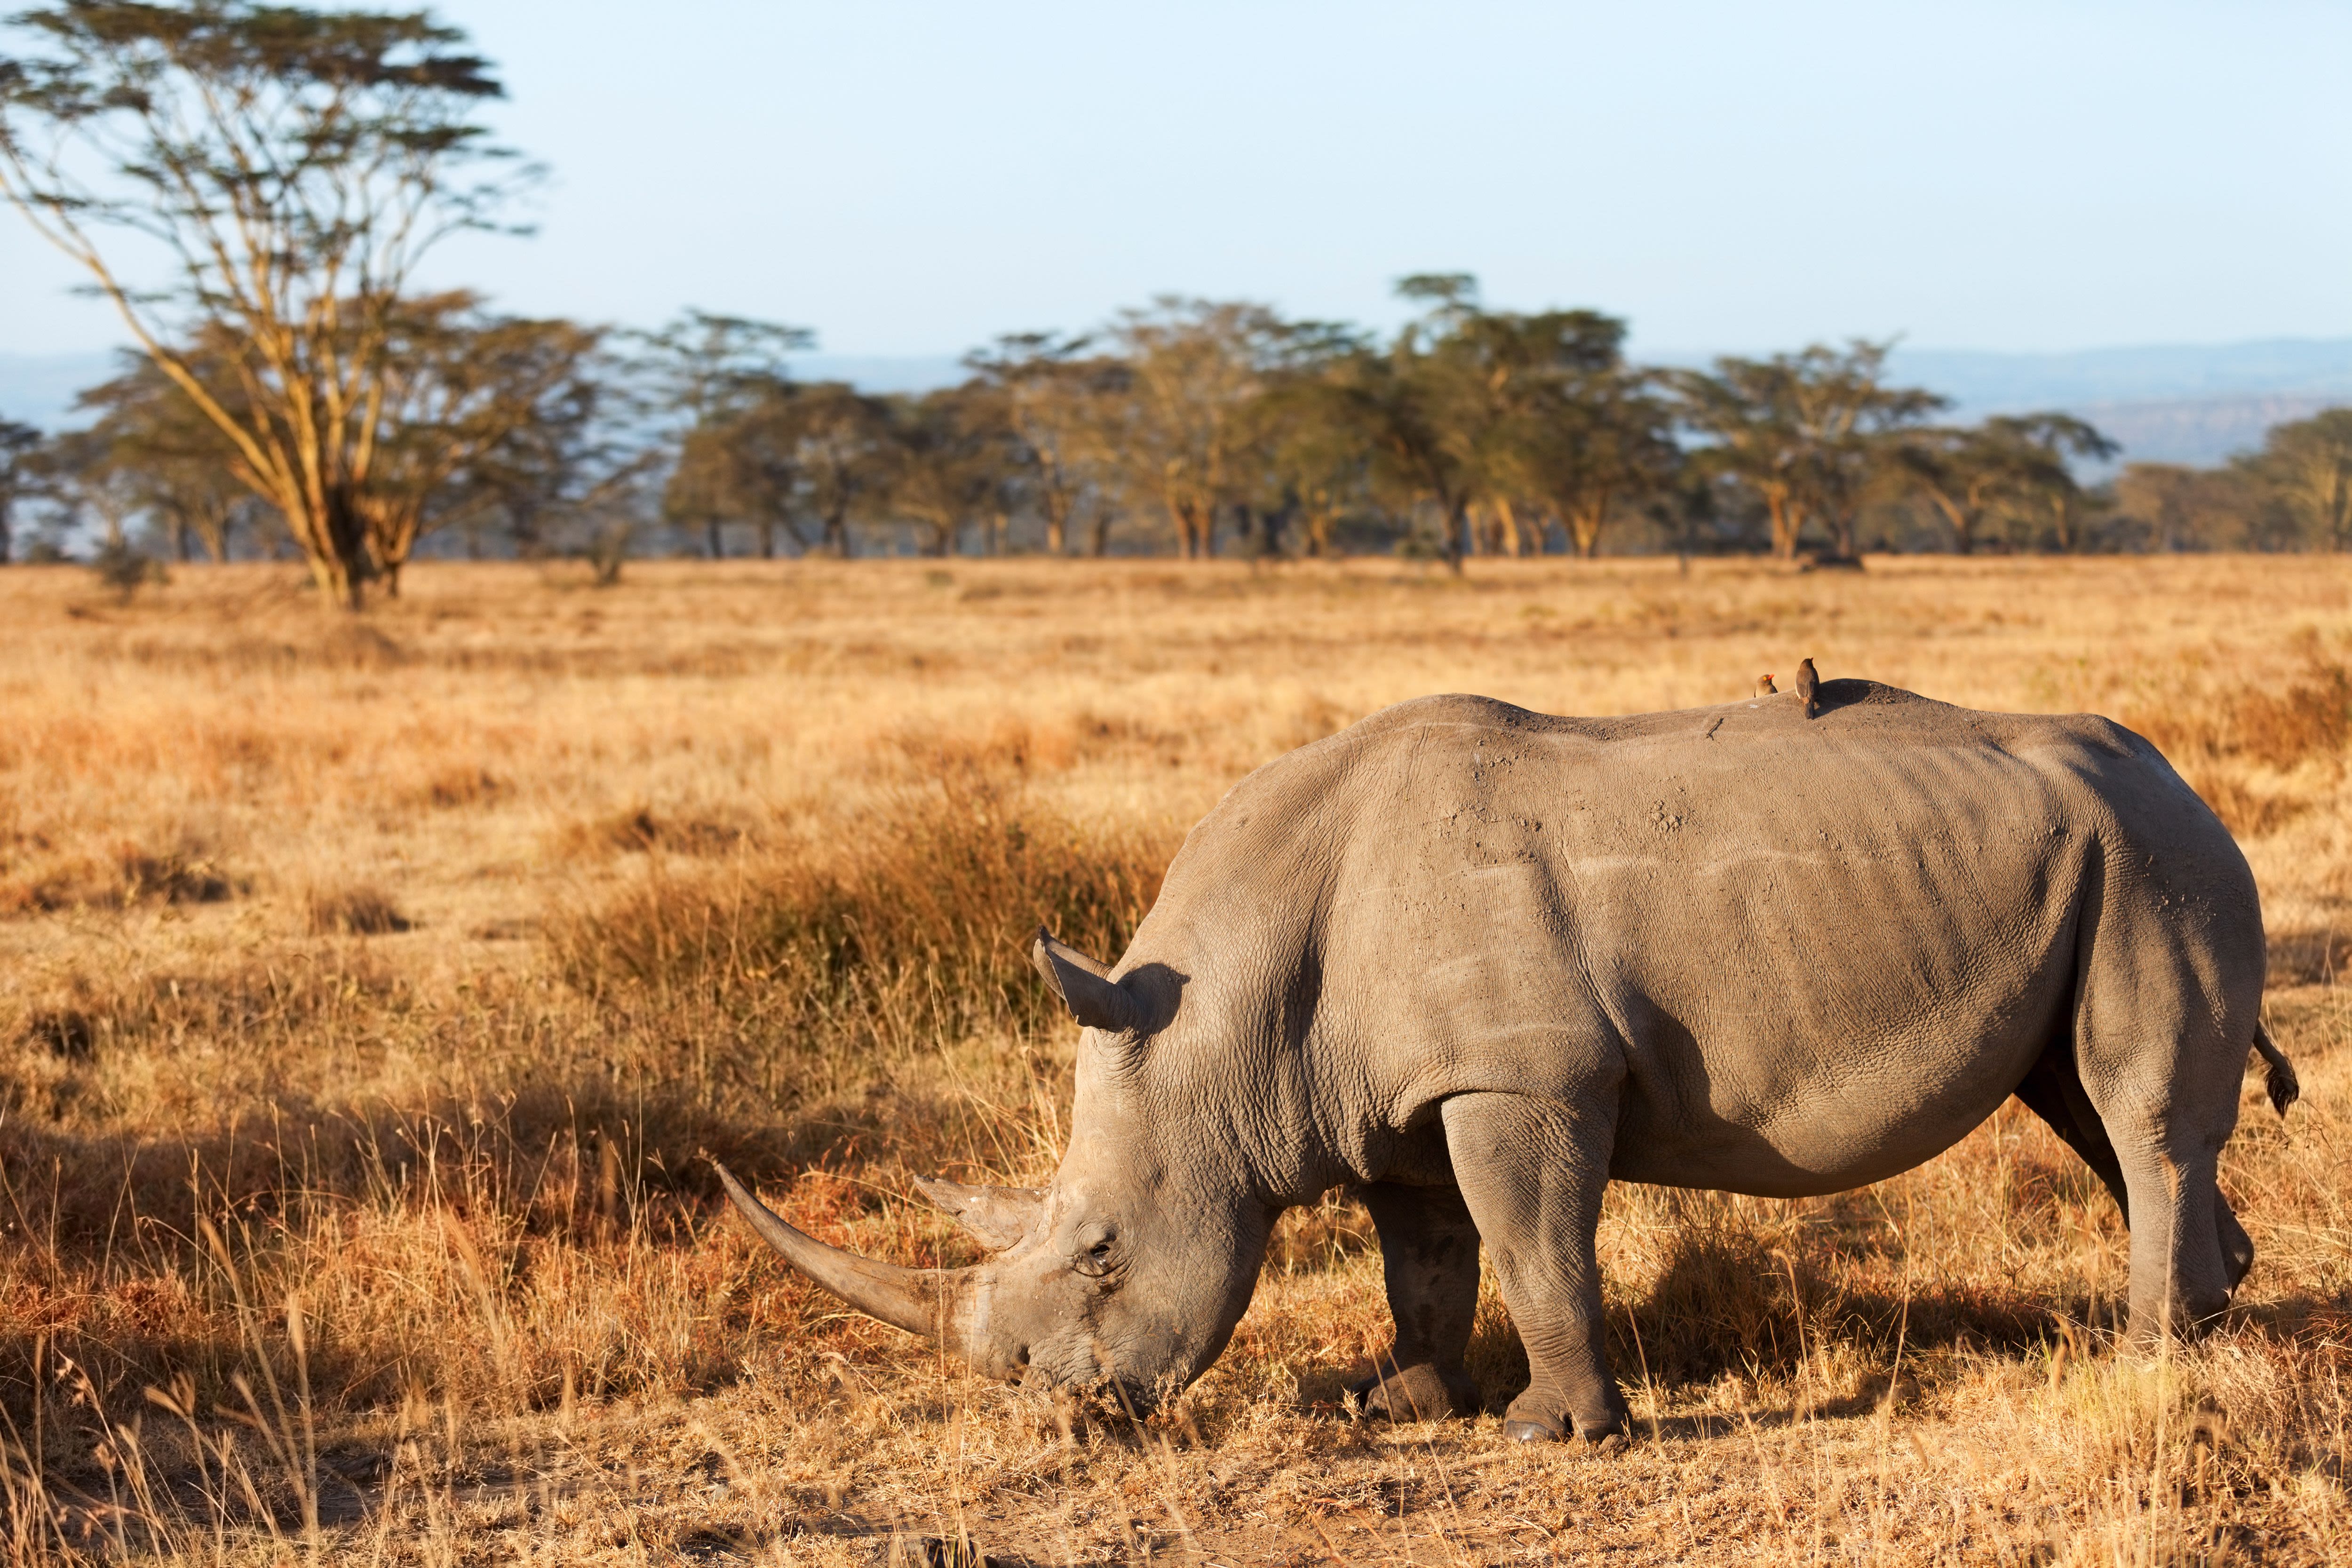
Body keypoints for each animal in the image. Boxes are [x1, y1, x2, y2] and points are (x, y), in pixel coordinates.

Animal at [716, 682, 2297, 1443]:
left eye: (1102, 1251)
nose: (1056, 1409)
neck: (1222, 1027)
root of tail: (2177, 769)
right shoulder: (1383, 1094)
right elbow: (1424, 1254)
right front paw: (1404, 1404)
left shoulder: (1516, 1078)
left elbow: (1534, 1243)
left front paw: (1552, 1432)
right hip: (2099, 853)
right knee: (2087, 1106)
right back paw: (2211, 1317)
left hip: (2159, 854)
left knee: (2131, 1108)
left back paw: (2144, 1347)